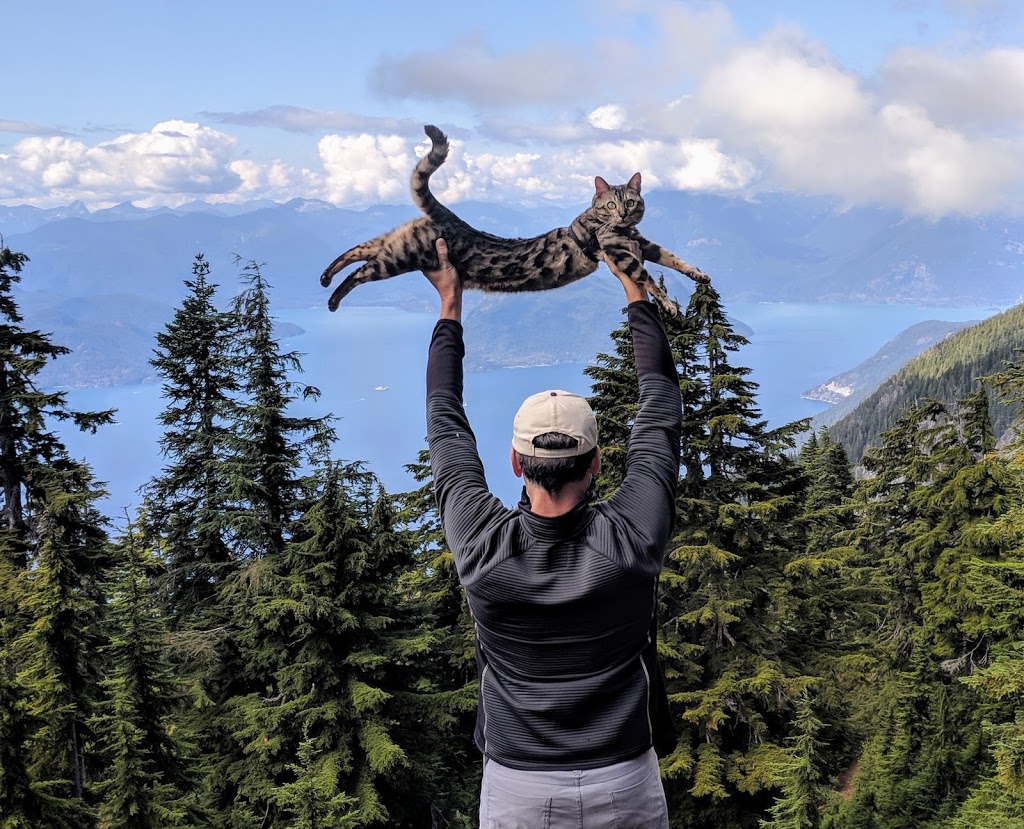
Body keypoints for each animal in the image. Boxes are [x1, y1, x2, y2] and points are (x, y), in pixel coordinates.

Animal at [321, 123, 712, 313]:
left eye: (630, 202)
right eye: (610, 206)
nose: (623, 215)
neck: (623, 232)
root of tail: (453, 219)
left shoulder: (644, 243)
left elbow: (673, 258)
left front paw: (699, 274)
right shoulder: (619, 252)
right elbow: (646, 278)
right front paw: (667, 303)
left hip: (399, 241)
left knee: (360, 248)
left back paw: (326, 278)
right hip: (403, 256)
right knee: (362, 269)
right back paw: (333, 298)